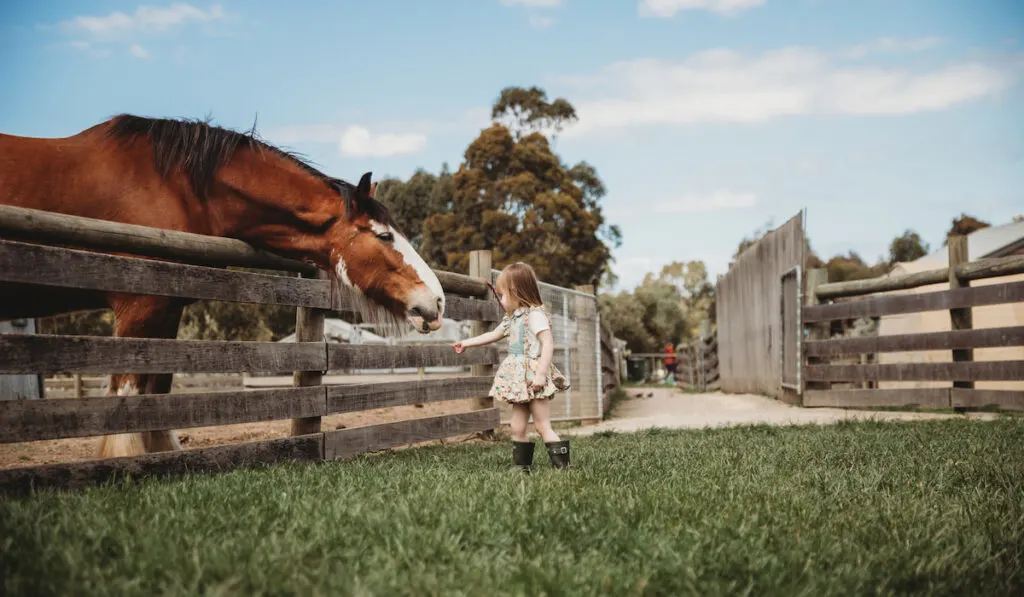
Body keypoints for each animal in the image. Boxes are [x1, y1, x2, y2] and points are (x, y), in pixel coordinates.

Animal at [1, 114, 448, 460]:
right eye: (384, 236)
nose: (438, 301)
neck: (174, 185)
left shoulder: (168, 307)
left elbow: (157, 393)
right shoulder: (138, 305)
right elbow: (127, 395)